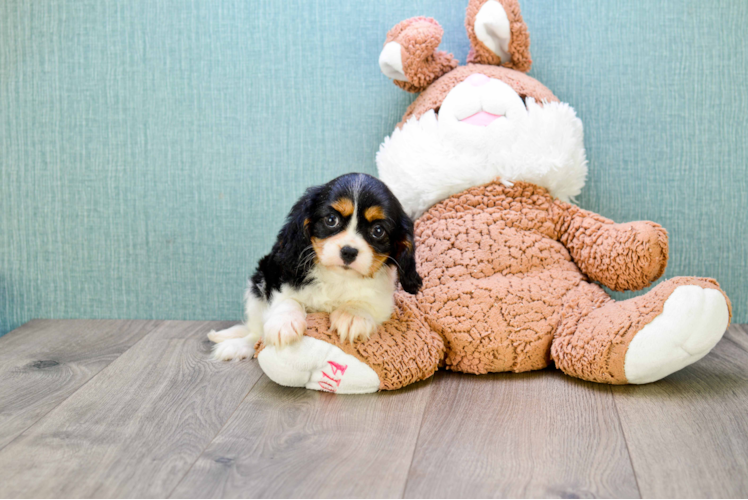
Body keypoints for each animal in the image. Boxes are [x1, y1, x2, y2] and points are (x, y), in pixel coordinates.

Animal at [209, 172, 420, 360]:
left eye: (378, 231)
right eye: (331, 220)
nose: (349, 251)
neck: (338, 277)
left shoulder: (382, 301)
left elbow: (365, 303)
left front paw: (352, 316)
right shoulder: (281, 278)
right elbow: (288, 299)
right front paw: (284, 323)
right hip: (257, 285)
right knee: (254, 332)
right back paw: (237, 346)